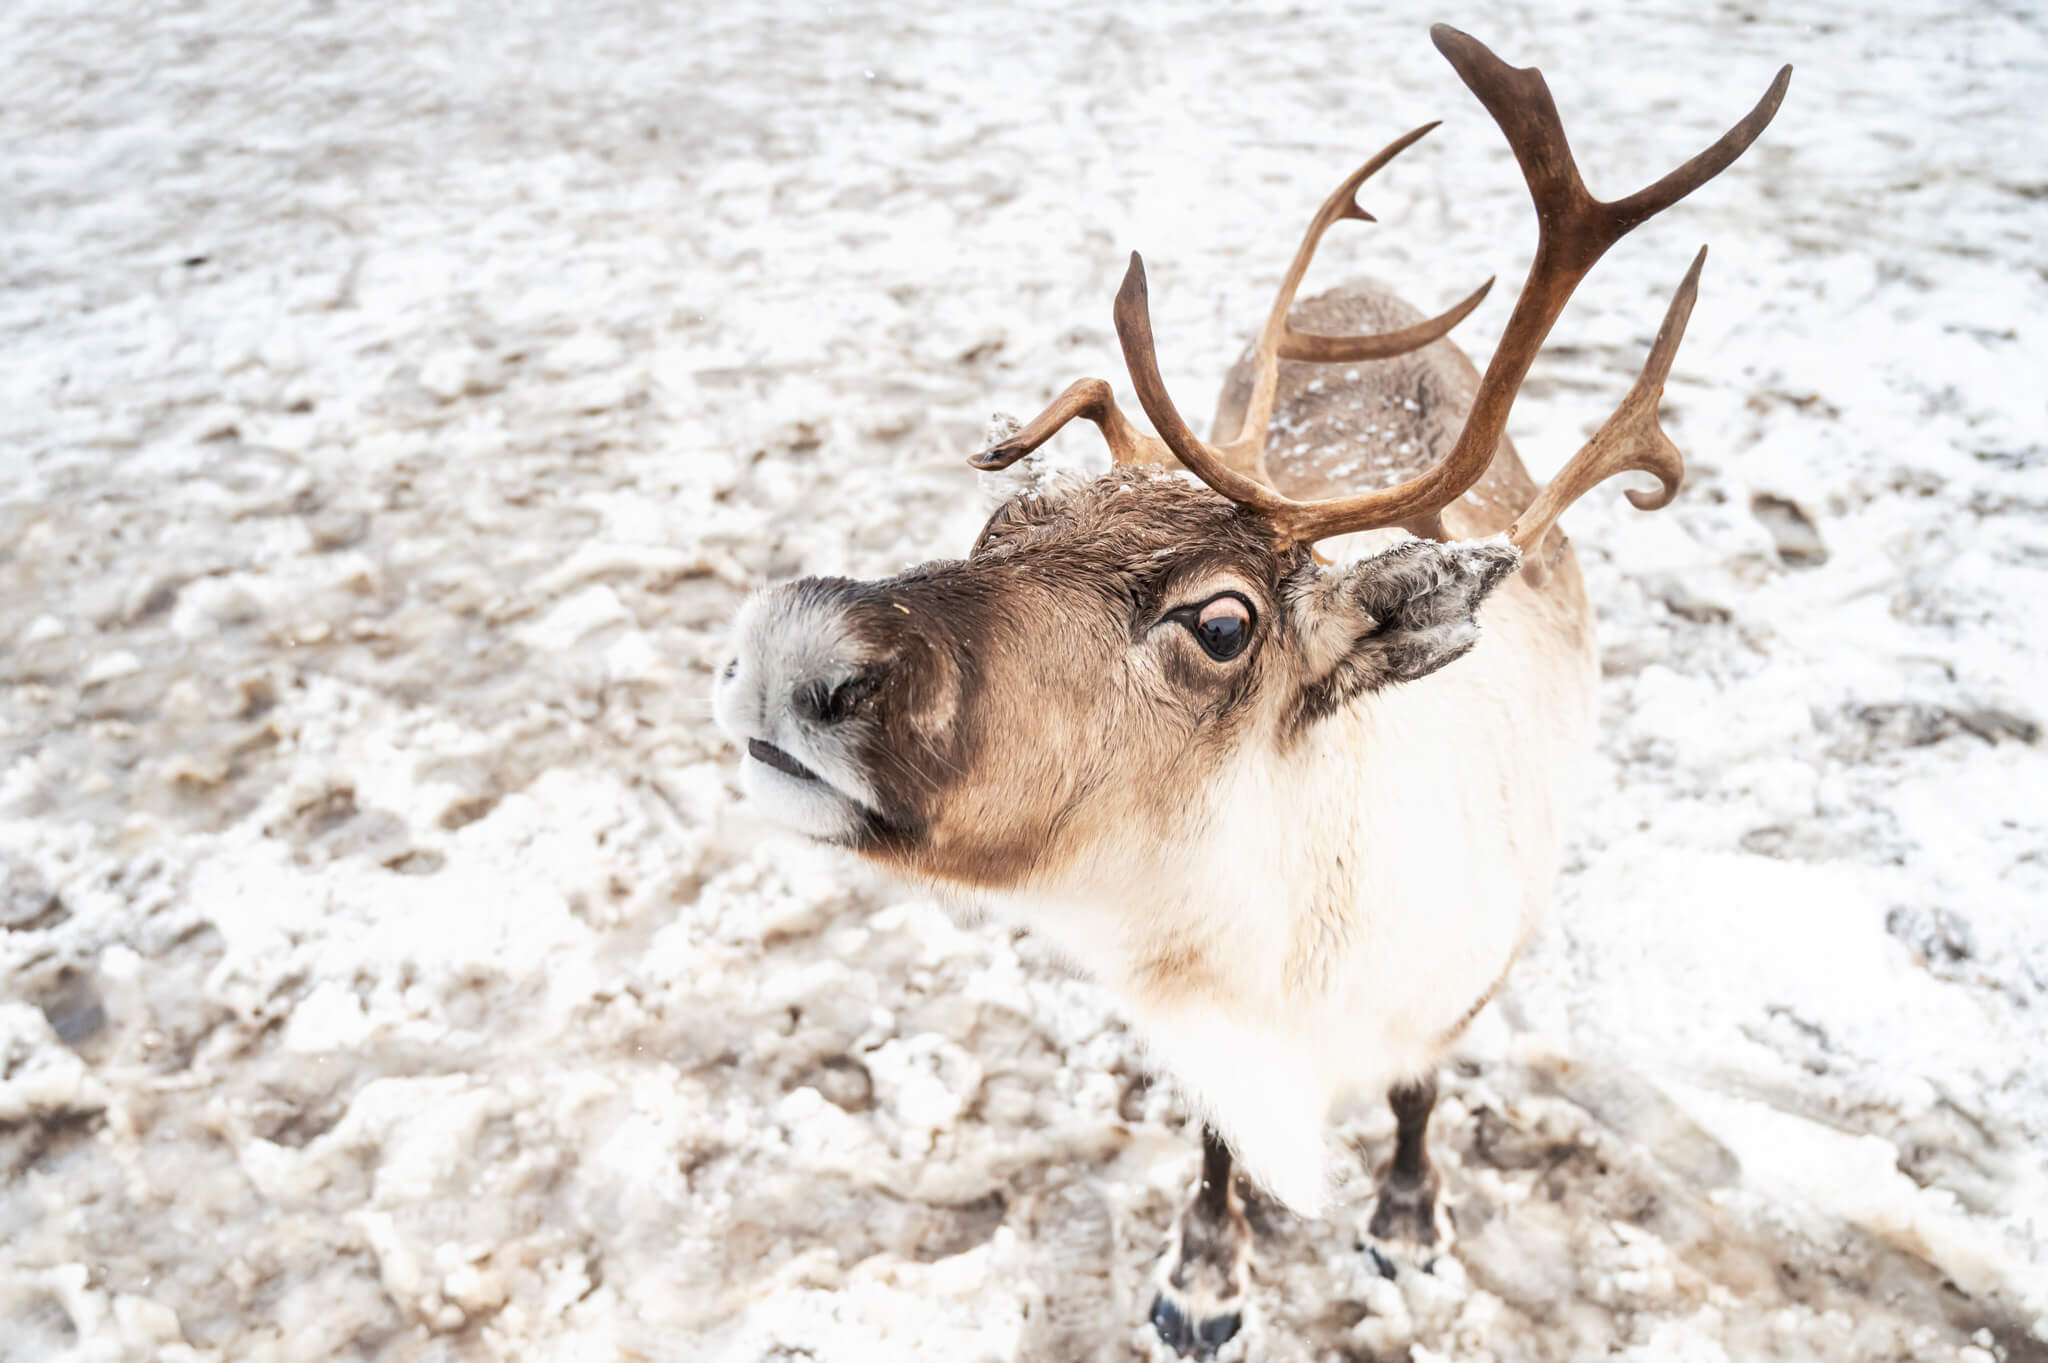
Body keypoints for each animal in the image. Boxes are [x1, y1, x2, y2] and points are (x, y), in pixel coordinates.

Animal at [713, 25, 1788, 1360]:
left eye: (1222, 622)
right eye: (998, 523)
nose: (793, 643)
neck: (1288, 978)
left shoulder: (1455, 990)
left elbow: (1418, 1099)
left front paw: (1407, 1225)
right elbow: (1215, 1145)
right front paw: (1206, 1277)